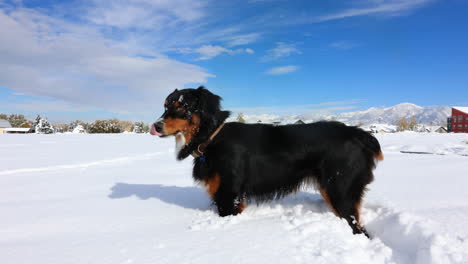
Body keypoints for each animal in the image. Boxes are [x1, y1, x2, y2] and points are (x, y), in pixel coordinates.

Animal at [152, 86, 382, 237]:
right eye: (165, 106)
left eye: (182, 107)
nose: (155, 126)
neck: (211, 137)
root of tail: (358, 134)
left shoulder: (229, 195)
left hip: (341, 191)